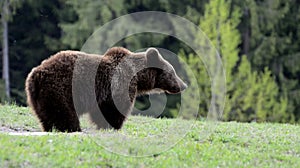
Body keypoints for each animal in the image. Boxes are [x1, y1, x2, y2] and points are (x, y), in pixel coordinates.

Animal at [25, 46, 186, 132]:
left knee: (47, 115)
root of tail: (36, 74)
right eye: (173, 72)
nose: (183, 85)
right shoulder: (117, 86)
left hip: (40, 97)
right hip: (61, 89)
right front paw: (113, 126)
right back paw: (72, 128)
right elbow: (114, 110)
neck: (138, 76)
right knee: (64, 113)